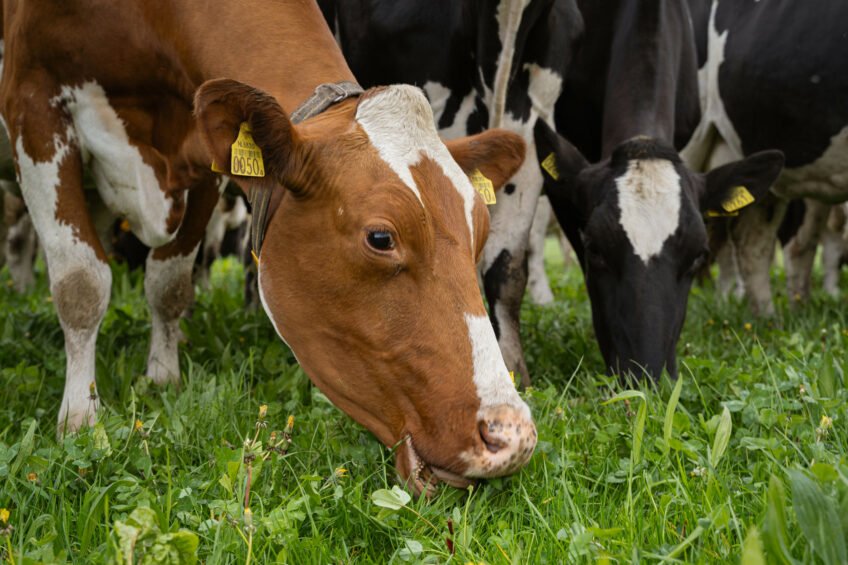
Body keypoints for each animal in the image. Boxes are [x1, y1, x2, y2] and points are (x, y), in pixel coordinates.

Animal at [1, 0, 536, 494]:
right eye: (381, 238)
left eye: (481, 231)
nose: (510, 435)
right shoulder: (33, 103)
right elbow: (81, 284)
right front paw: (80, 418)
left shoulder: (203, 159)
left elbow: (168, 285)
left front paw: (162, 378)